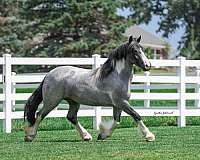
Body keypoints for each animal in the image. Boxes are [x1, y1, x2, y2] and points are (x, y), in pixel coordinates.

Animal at [24, 36, 155, 141]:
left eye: (142, 49)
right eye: (134, 50)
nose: (148, 65)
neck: (117, 76)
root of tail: (48, 74)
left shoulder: (118, 105)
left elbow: (117, 121)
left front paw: (102, 135)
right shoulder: (121, 102)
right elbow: (136, 115)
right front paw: (149, 136)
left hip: (73, 102)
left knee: (71, 117)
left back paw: (86, 136)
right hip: (52, 101)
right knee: (39, 114)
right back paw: (29, 136)